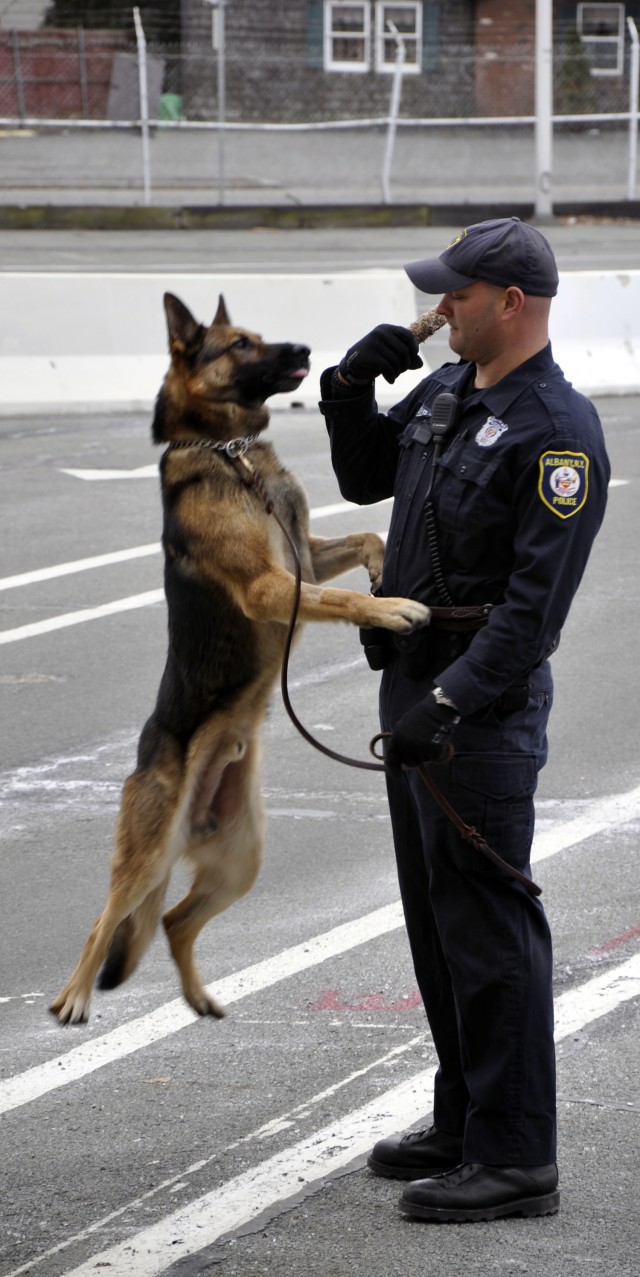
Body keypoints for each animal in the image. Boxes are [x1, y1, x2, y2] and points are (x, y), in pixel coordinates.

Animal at [49, 292, 429, 1026]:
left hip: (242, 858)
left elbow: (366, 538)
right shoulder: (272, 585)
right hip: (148, 855)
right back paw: (71, 999)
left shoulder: (304, 555)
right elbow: (342, 596)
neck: (229, 452)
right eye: (241, 346)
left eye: (260, 335)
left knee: (173, 921)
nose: (306, 350)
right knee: (103, 923)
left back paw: (200, 998)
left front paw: (384, 577)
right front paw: (393, 607)